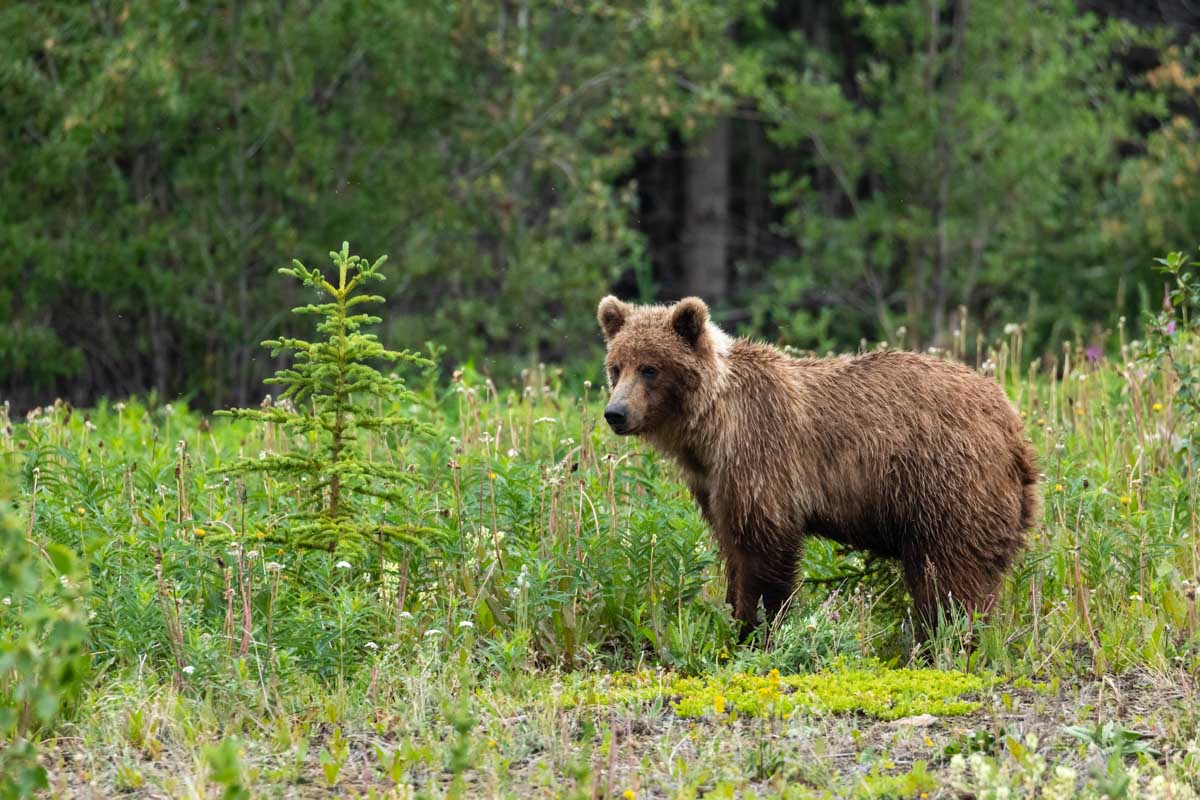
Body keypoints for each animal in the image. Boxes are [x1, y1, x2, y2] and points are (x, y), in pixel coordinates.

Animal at [597, 294, 1040, 641]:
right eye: (616, 366)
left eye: (650, 368)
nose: (615, 413)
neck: (710, 426)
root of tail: (1012, 424)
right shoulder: (713, 481)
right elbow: (731, 546)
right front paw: (734, 615)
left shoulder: (760, 451)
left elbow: (764, 548)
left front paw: (754, 627)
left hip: (946, 484)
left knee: (949, 575)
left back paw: (945, 639)